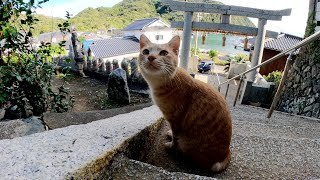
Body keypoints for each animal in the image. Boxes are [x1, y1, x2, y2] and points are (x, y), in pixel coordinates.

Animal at [139, 34, 231, 172]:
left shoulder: (176, 120)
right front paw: (170, 136)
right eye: (146, 52)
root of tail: (225, 155)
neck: (168, 80)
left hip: (188, 143)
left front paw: (171, 147)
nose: (151, 57)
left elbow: (175, 139)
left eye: (164, 53)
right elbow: (174, 135)